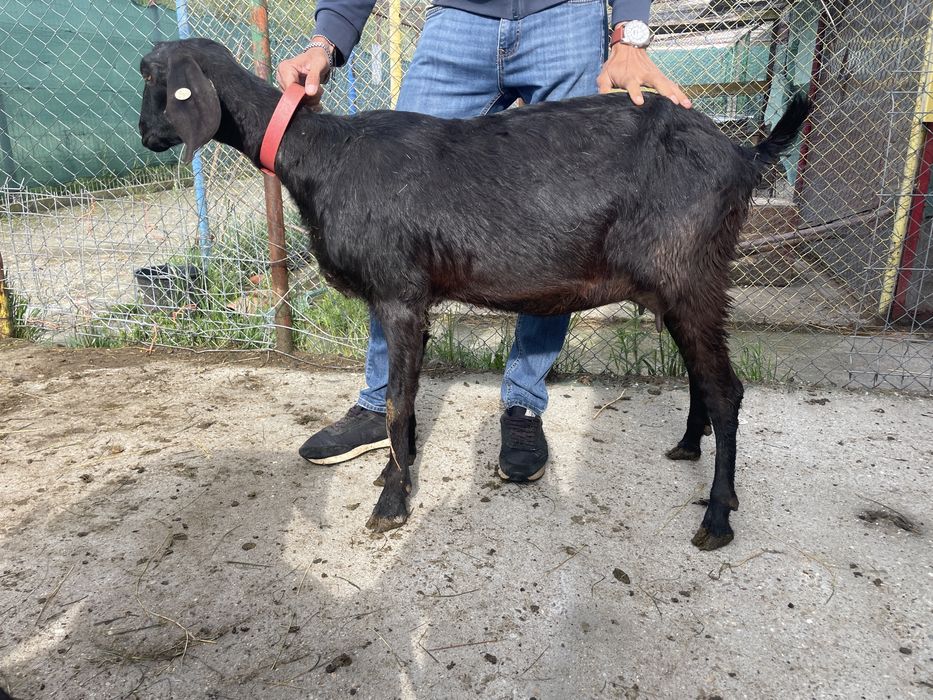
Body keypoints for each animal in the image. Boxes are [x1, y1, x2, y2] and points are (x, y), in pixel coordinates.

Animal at [138, 38, 810, 550]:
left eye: (152, 77)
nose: (144, 134)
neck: (324, 156)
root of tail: (743, 155)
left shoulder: (400, 293)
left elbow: (398, 406)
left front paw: (391, 504)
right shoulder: (406, 299)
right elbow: (400, 402)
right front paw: (393, 472)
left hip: (693, 273)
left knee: (726, 390)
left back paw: (717, 516)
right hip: (677, 285)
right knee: (702, 376)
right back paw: (688, 446)